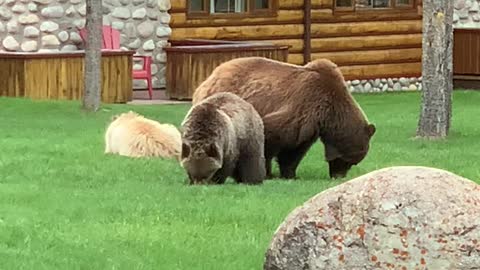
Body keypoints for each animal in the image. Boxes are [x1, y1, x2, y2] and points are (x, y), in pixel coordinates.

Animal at [191, 56, 376, 179]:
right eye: (350, 161)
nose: (338, 176)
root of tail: (209, 77)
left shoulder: (309, 125)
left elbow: (295, 151)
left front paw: (290, 174)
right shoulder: (304, 104)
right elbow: (271, 135)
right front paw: (267, 173)